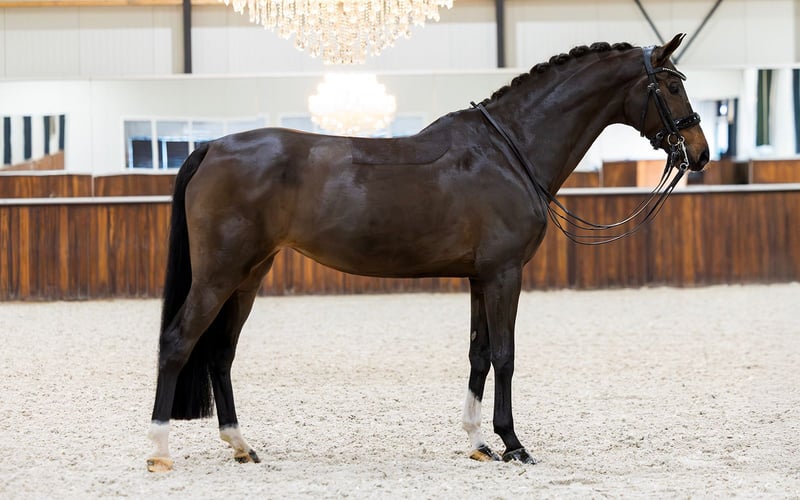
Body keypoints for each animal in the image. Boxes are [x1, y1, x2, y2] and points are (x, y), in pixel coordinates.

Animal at [147, 33, 709, 472]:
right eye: (673, 85)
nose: (700, 154)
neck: (509, 150)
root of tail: (212, 147)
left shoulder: (481, 277)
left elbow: (479, 354)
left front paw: (479, 442)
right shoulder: (505, 274)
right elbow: (504, 355)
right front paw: (514, 444)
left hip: (249, 274)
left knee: (221, 352)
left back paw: (241, 446)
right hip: (219, 275)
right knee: (178, 342)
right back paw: (159, 450)